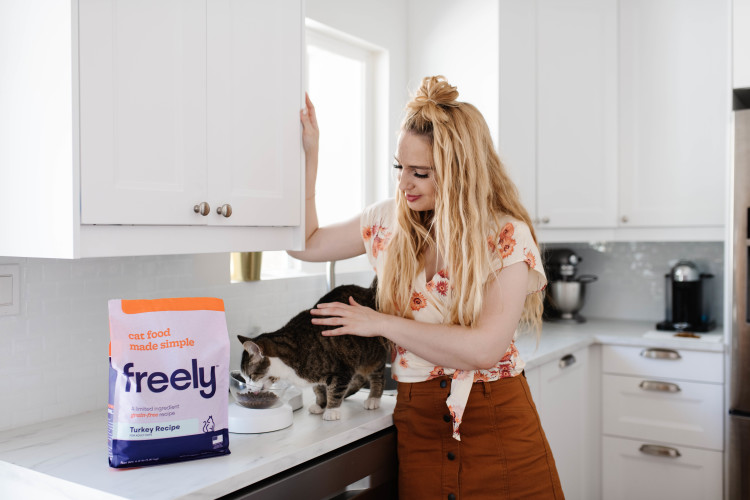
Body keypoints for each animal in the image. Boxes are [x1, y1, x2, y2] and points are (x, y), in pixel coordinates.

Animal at [238, 280, 390, 420]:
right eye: (244, 378)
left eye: (250, 376)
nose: (249, 389)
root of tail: (369, 291)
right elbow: (318, 388)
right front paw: (321, 404)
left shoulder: (341, 371)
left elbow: (335, 390)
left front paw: (331, 410)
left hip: (374, 353)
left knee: (377, 376)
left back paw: (373, 398)